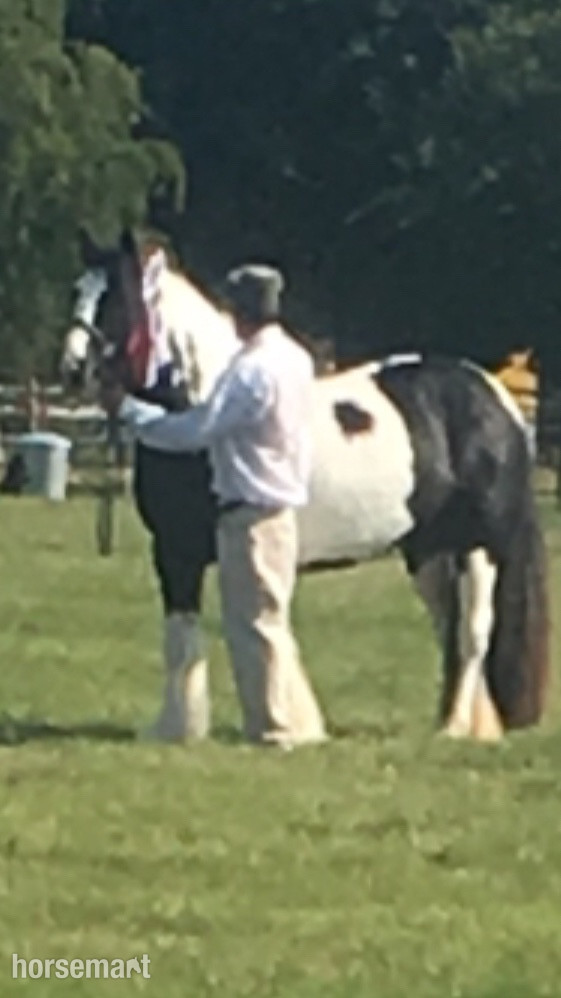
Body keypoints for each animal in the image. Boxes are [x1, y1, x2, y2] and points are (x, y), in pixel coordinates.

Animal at [61, 230, 549, 744]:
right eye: (77, 291)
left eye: (116, 298)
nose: (73, 371)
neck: (201, 403)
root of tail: (493, 396)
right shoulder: (175, 552)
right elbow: (181, 637)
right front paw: (178, 729)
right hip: (429, 549)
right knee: (449, 626)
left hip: (479, 545)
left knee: (474, 631)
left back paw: (454, 727)